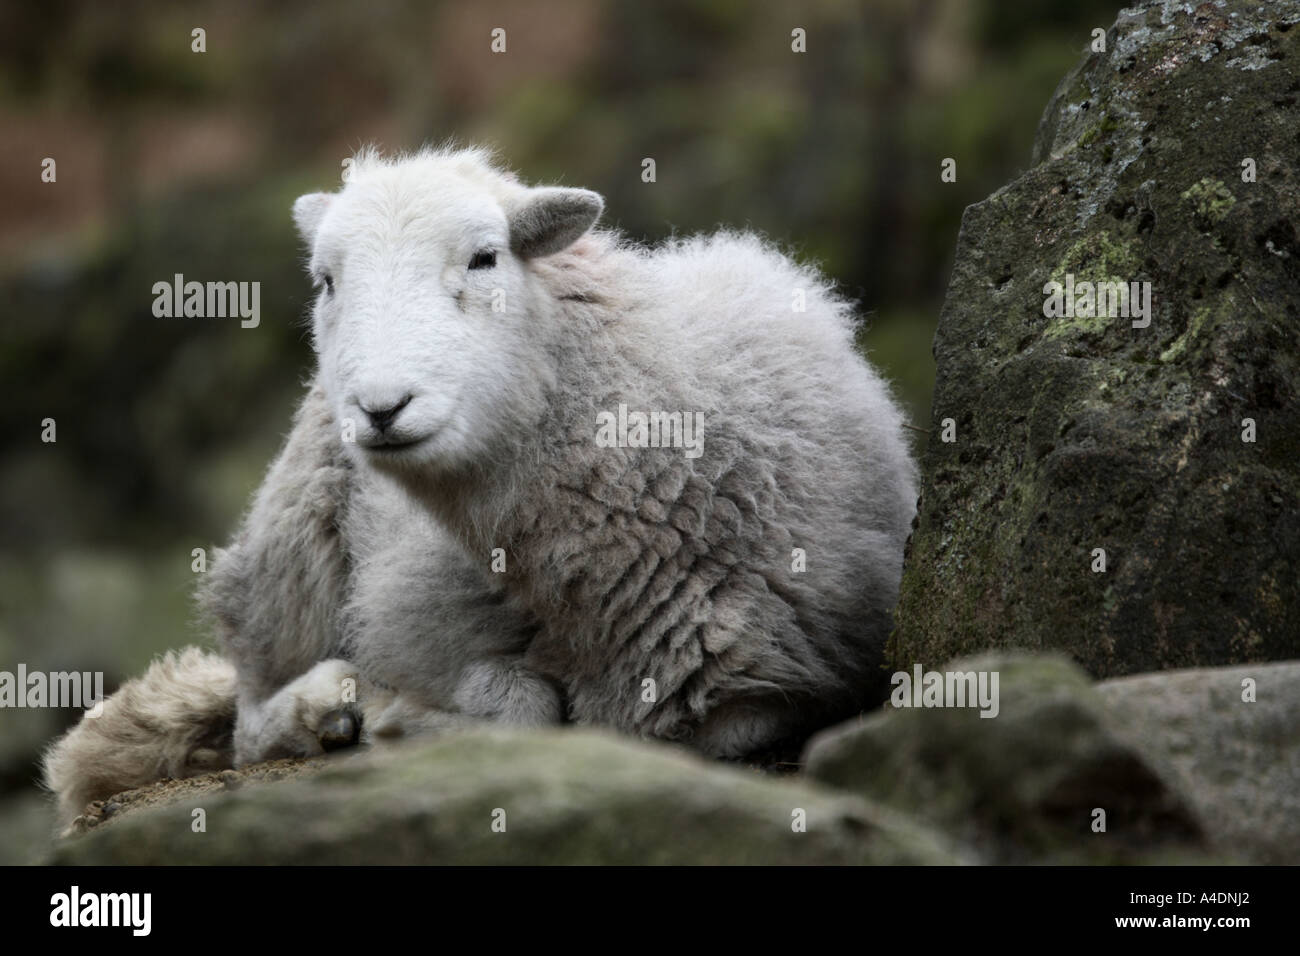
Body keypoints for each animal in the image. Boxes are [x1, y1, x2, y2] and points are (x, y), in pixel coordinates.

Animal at [40, 145, 915, 827]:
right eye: (325, 280)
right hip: (284, 560)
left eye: (485, 258)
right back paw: (330, 709)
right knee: (251, 715)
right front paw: (400, 719)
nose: (380, 407)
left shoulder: (776, 689)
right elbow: (521, 712)